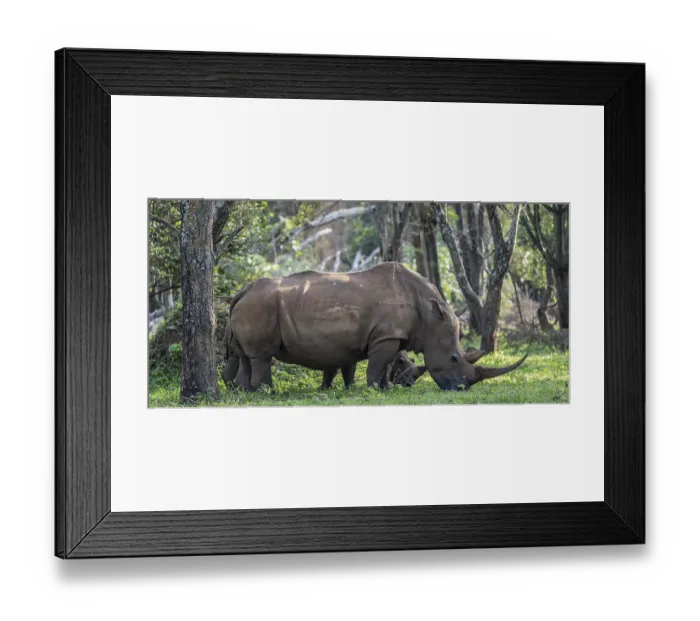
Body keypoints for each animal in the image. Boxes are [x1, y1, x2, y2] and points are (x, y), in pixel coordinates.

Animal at [222, 262, 527, 391]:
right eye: (453, 358)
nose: (462, 389)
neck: (429, 316)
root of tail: (242, 291)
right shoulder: (385, 336)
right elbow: (377, 364)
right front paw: (372, 390)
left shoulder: (393, 336)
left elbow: (384, 363)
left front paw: (385, 389)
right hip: (260, 305)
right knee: (261, 355)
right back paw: (266, 391)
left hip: (251, 304)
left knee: (244, 355)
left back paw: (245, 391)